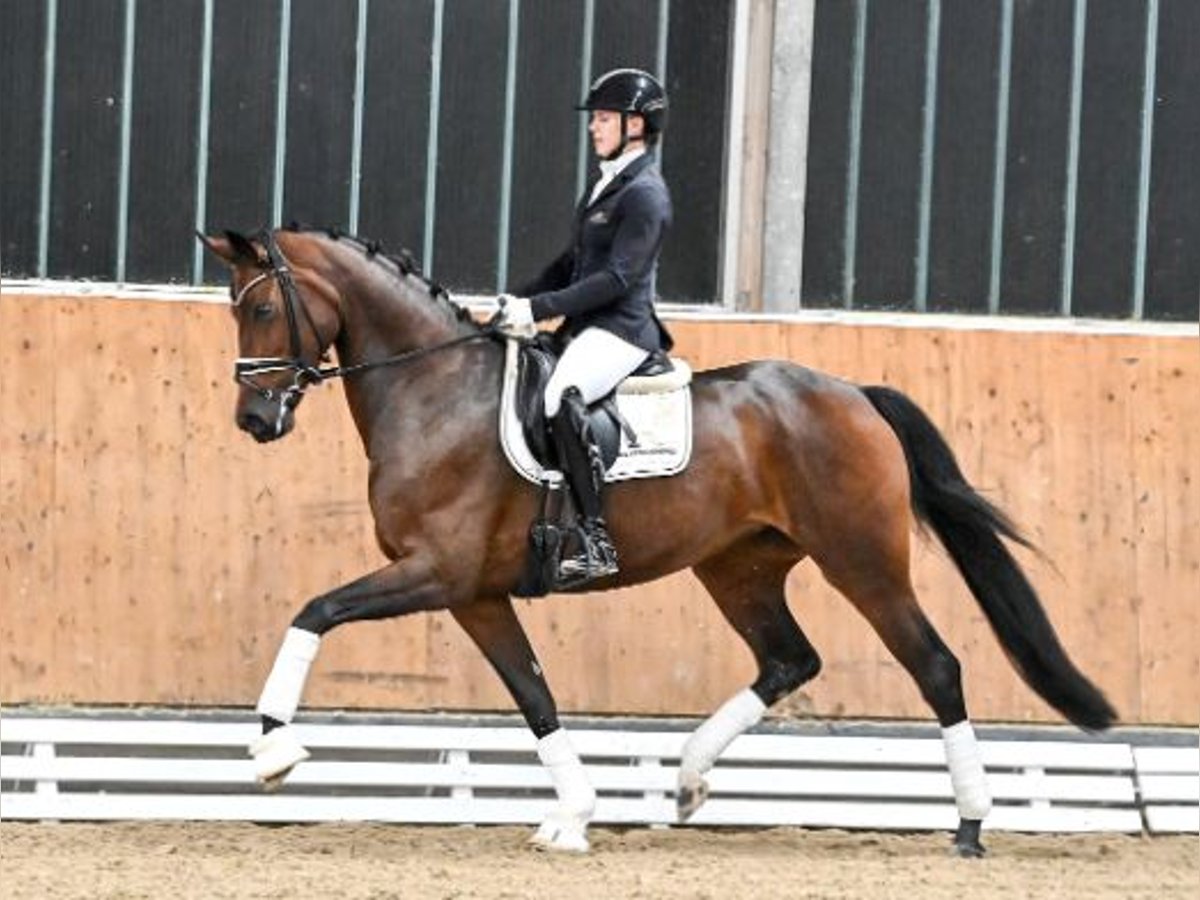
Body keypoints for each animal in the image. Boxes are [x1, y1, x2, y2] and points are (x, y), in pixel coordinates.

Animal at [199, 226, 1113, 859]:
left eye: (264, 308)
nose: (254, 421)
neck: (435, 390)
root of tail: (853, 392)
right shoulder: (476, 593)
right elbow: (534, 697)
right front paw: (573, 817)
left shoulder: (435, 573)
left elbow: (315, 611)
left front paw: (274, 748)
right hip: (738, 567)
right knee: (789, 660)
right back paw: (688, 778)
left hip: (862, 561)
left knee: (935, 666)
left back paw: (969, 825)